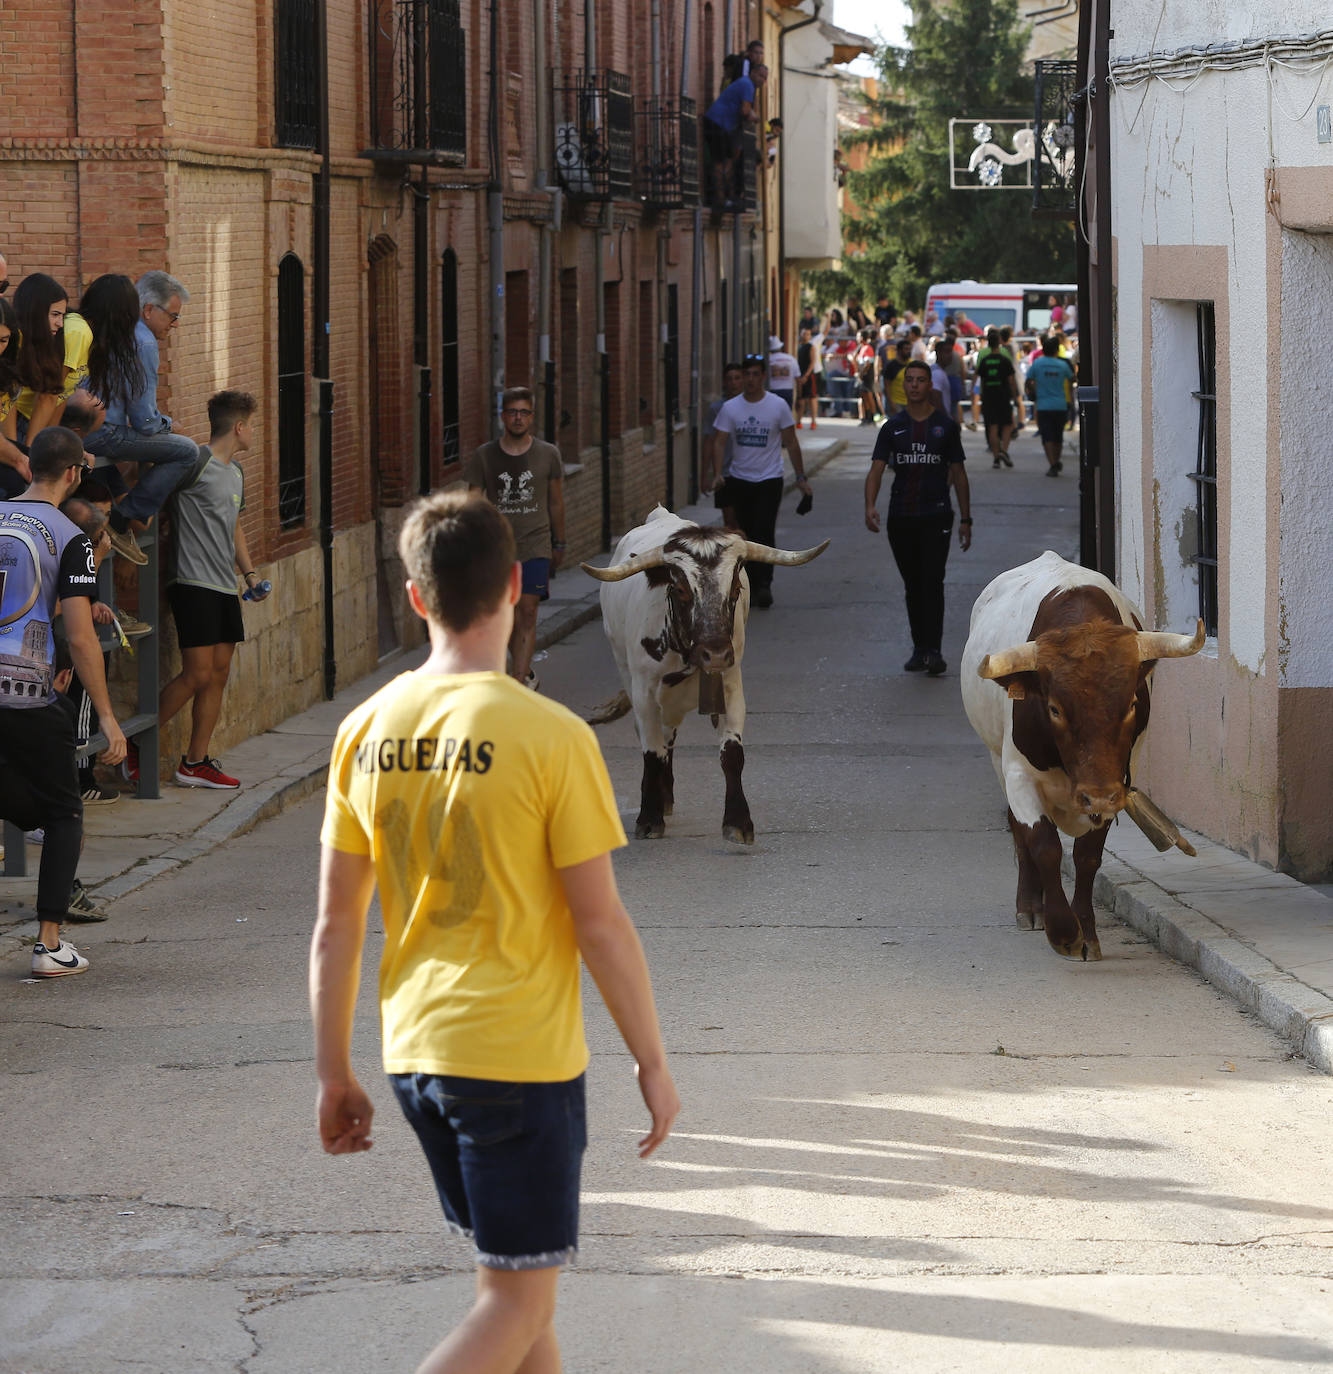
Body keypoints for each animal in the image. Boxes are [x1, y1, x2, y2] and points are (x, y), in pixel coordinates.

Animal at [579, 505, 819, 840]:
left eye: (735, 588)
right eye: (680, 589)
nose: (715, 654)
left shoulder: (730, 687)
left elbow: (732, 753)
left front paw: (738, 821)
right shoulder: (644, 694)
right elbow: (651, 751)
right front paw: (649, 817)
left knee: (669, 734)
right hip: (626, 670)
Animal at [961, 552, 1198, 961]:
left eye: (1131, 703)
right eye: (1054, 708)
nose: (1097, 796)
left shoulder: (1116, 783)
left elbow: (1087, 856)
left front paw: (1085, 931)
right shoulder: (1019, 775)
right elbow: (1044, 845)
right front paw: (1062, 931)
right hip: (996, 759)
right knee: (1018, 832)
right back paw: (1030, 908)